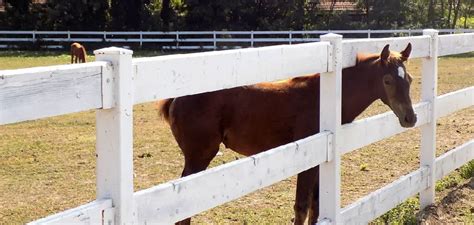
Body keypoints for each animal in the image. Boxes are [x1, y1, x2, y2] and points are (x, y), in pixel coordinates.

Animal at [158, 43, 414, 224]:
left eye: (409, 79)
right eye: (387, 80)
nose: (410, 118)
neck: (321, 99)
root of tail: (177, 98)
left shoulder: (320, 161)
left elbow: (316, 205)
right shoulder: (307, 161)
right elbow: (301, 207)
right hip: (198, 157)